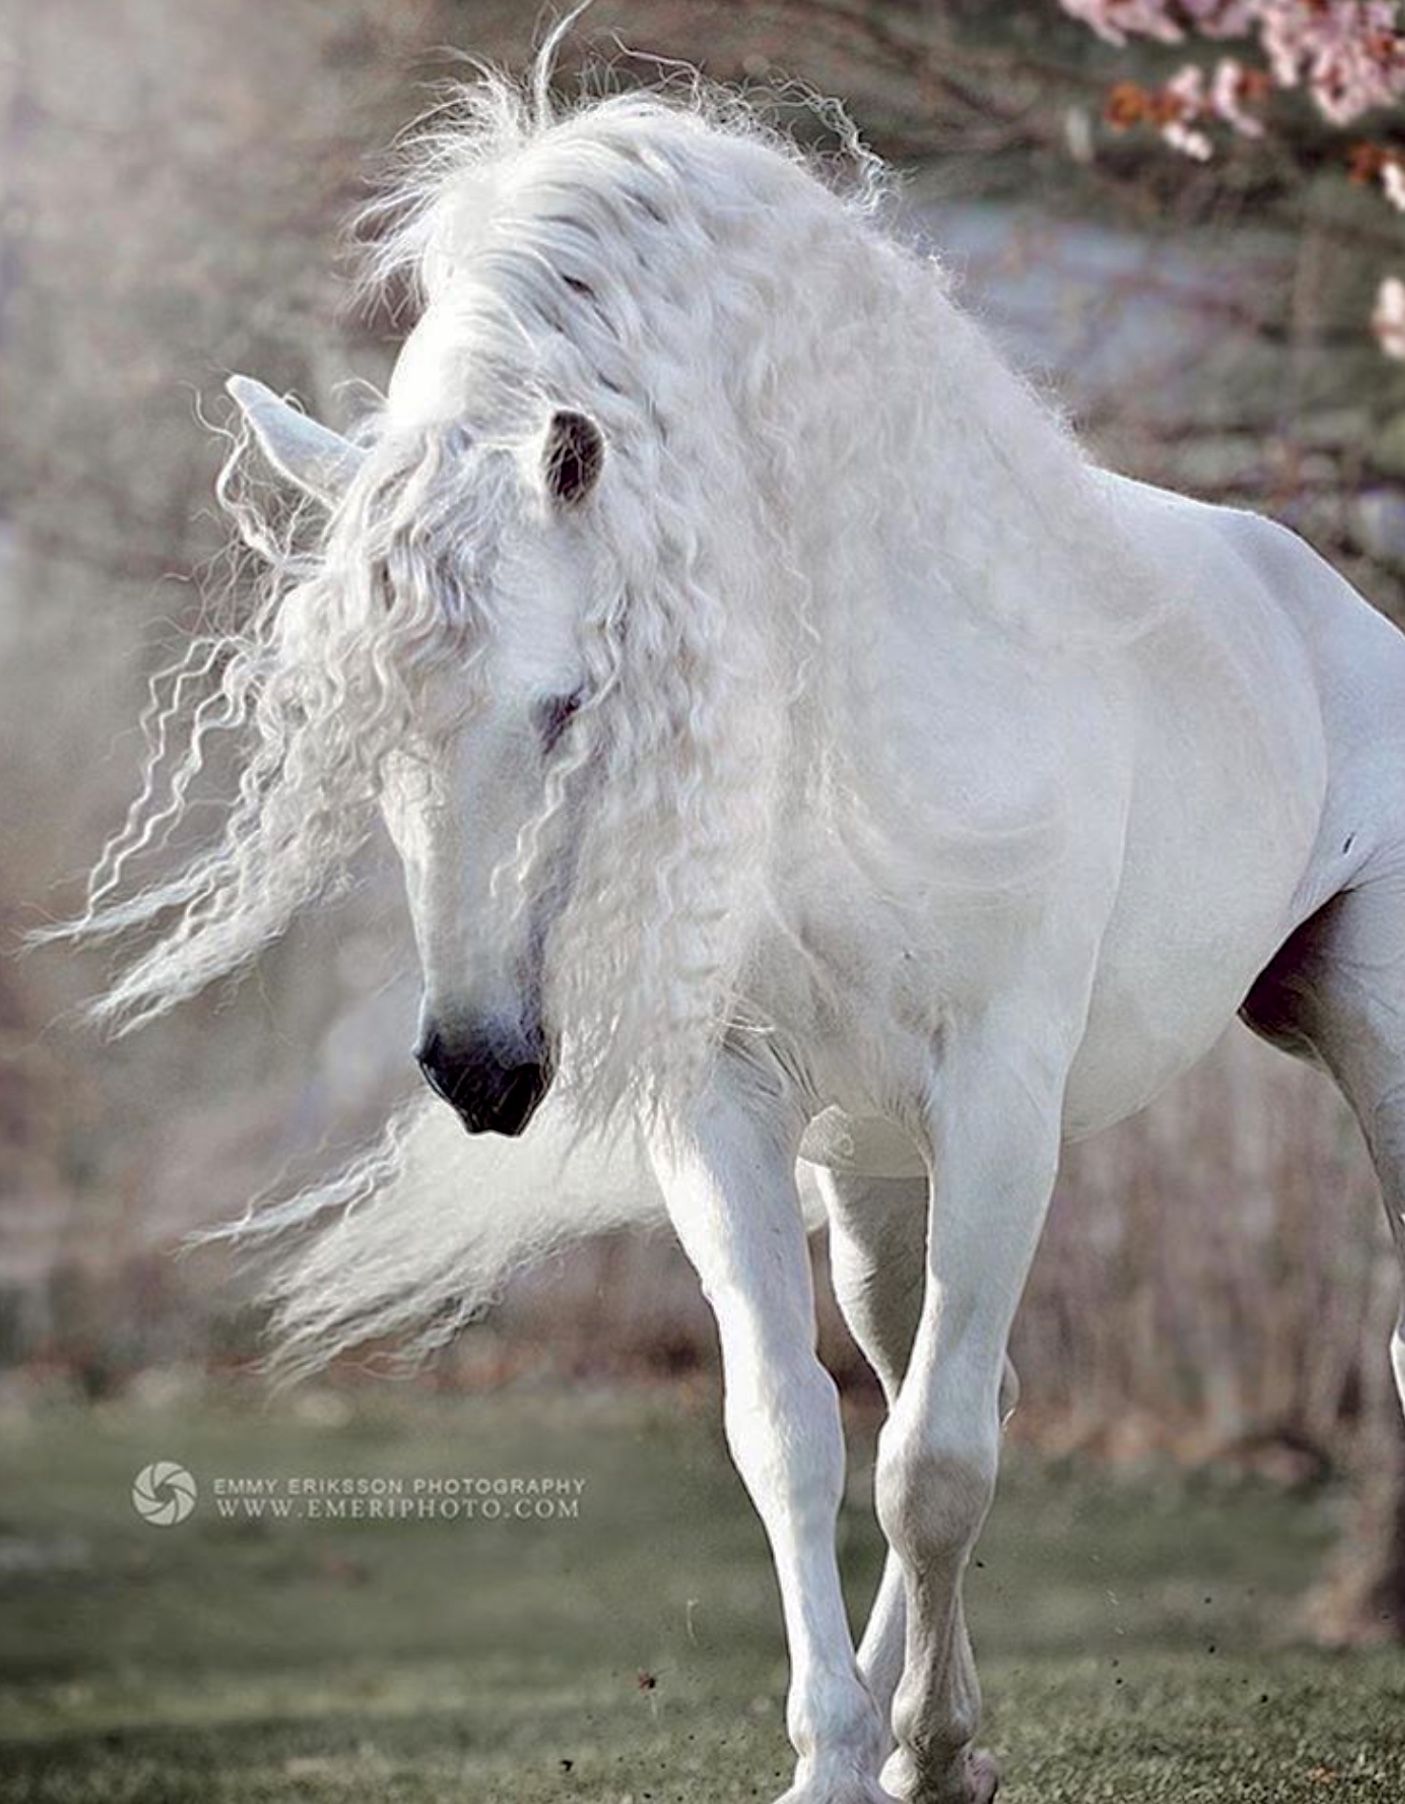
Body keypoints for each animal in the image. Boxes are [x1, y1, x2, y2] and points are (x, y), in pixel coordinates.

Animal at [65, 52, 1405, 1804]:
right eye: (366, 734)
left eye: (567, 702)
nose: (481, 1068)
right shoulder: (729, 1109)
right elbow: (796, 1439)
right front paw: (849, 1758)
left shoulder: (1002, 1099)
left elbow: (937, 1465)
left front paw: (927, 1749)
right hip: (878, 1177)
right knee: (934, 1387)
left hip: (1352, 1045)